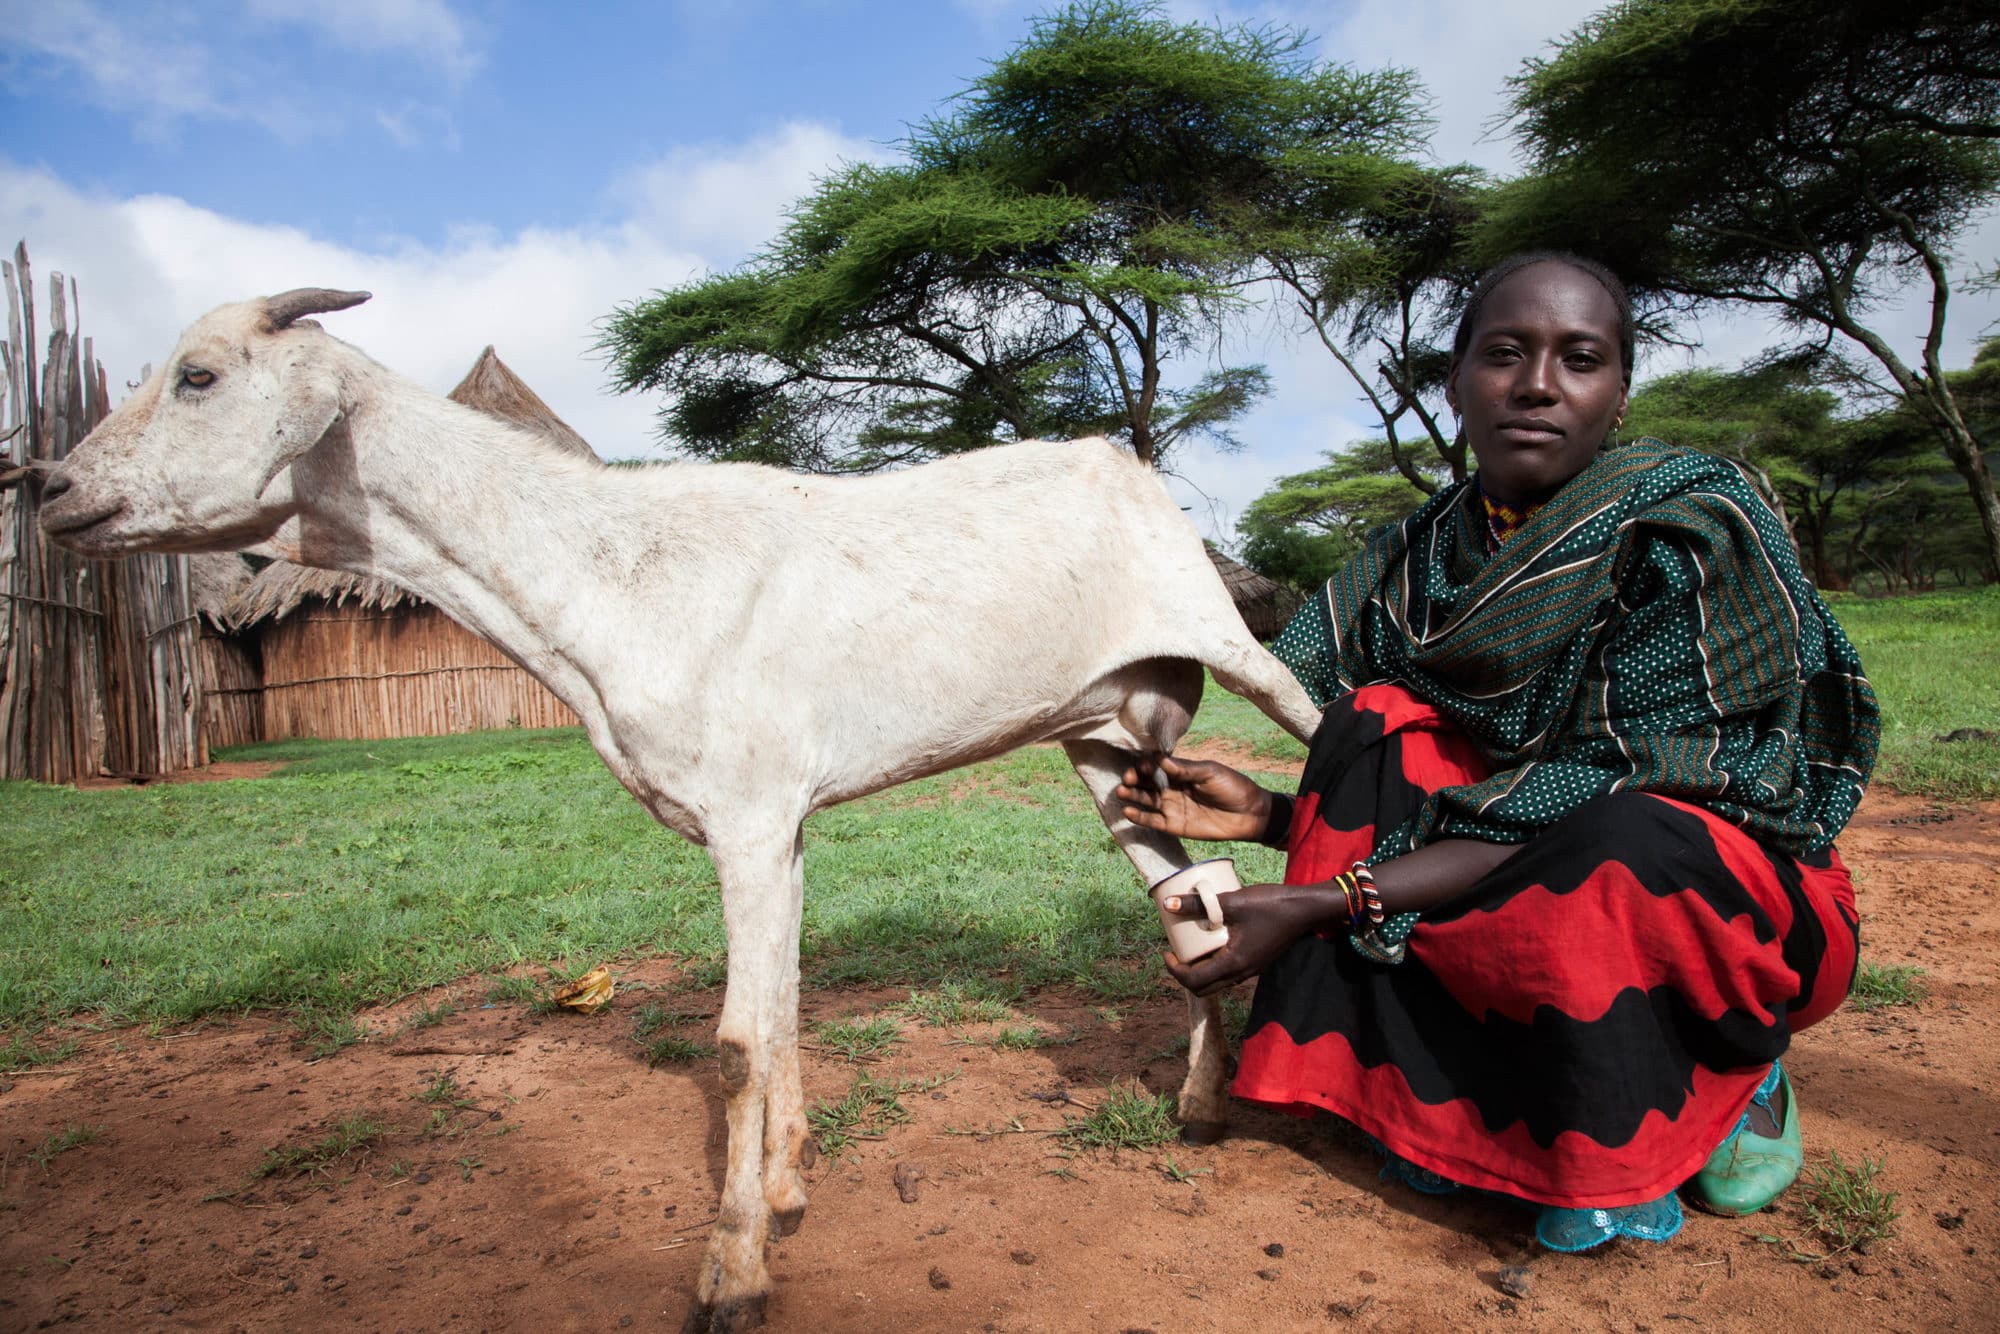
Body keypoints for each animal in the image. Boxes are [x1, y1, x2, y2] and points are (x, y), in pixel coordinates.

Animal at [39, 288, 1320, 1328]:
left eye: (198, 374)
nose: (48, 486)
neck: (606, 569)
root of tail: (1127, 463)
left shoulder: (747, 813)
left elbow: (741, 1041)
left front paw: (734, 1271)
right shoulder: (780, 821)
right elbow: (787, 1007)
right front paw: (789, 1185)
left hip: (1238, 651)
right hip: (1103, 741)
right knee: (1197, 899)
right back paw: (1198, 1100)